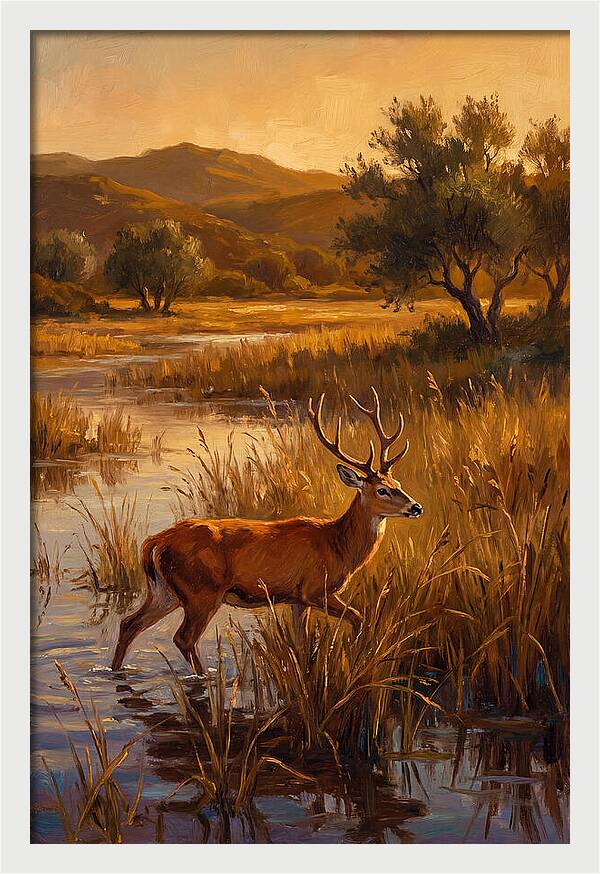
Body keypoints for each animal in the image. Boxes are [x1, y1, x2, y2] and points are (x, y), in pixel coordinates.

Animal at [111, 387, 423, 675]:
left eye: (397, 482)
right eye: (382, 490)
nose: (417, 507)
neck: (338, 546)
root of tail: (154, 542)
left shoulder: (297, 599)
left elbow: (302, 643)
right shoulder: (314, 590)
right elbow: (359, 617)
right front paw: (356, 652)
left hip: (164, 591)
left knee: (128, 623)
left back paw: (115, 670)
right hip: (201, 591)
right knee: (183, 638)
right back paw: (204, 678)